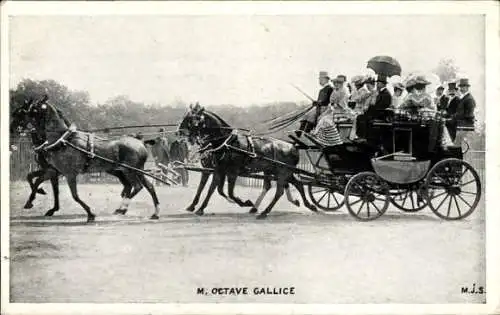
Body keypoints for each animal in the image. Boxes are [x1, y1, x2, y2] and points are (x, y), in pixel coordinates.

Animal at [21, 97, 160, 223]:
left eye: (34, 109)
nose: (21, 126)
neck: (64, 140)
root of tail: (140, 142)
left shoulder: (69, 173)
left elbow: (74, 196)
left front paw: (90, 214)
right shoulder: (54, 171)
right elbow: (36, 180)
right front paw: (33, 200)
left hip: (129, 171)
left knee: (137, 186)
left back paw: (123, 208)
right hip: (136, 170)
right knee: (148, 186)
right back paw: (154, 213)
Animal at [178, 105, 314, 218]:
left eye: (191, 119)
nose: (178, 132)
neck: (227, 142)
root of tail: (293, 146)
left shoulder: (232, 172)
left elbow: (228, 192)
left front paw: (245, 202)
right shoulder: (218, 170)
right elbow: (213, 189)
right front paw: (199, 208)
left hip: (282, 172)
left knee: (280, 191)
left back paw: (264, 212)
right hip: (281, 171)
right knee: (297, 184)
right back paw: (308, 205)